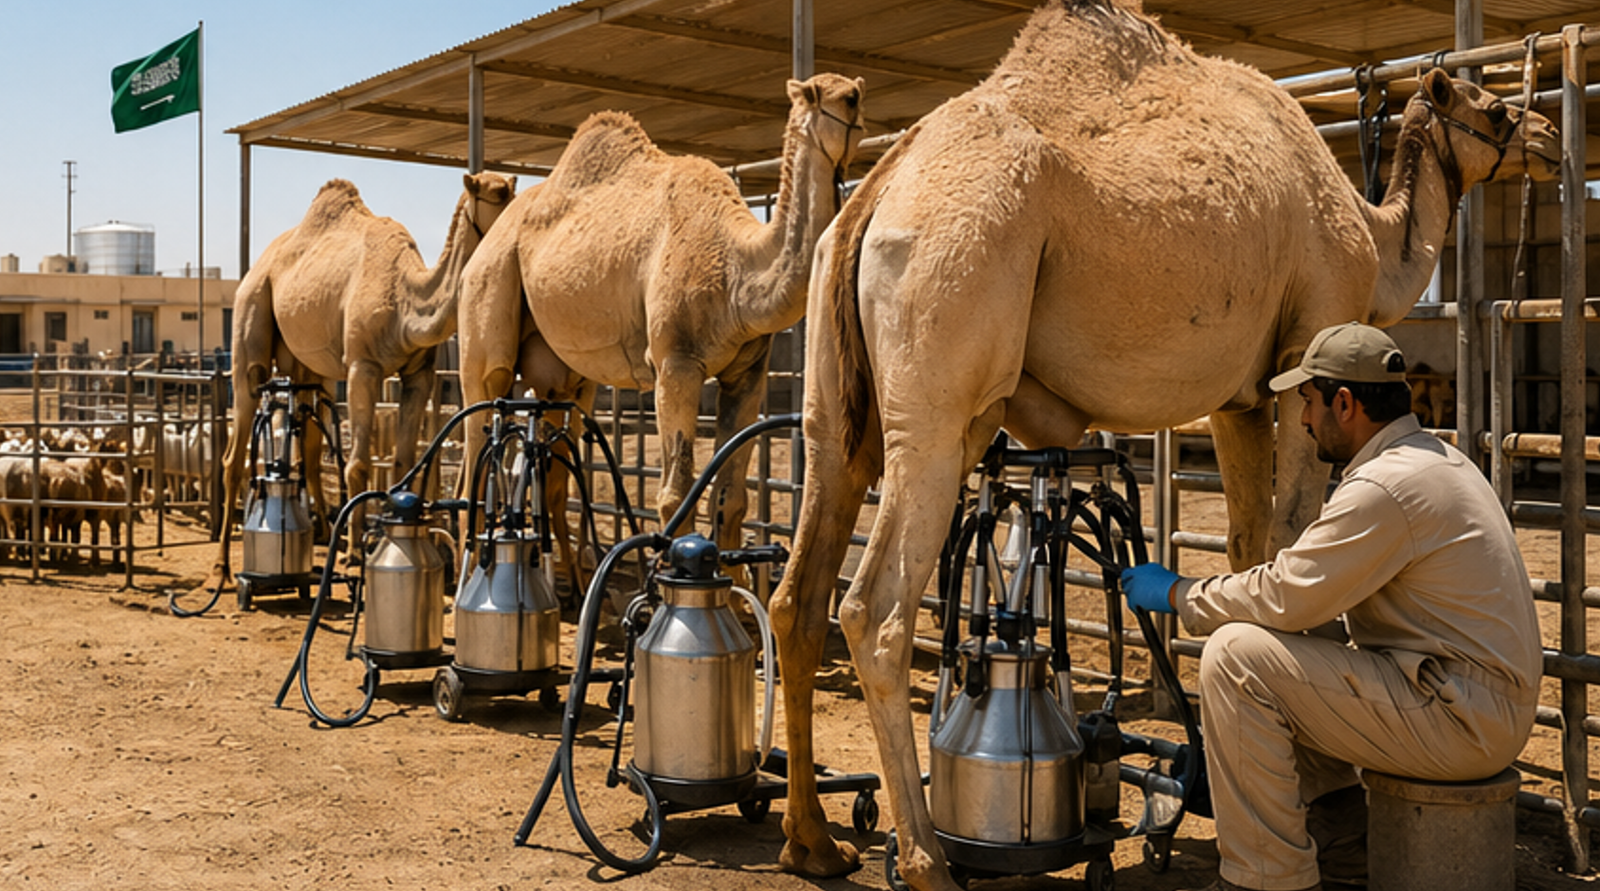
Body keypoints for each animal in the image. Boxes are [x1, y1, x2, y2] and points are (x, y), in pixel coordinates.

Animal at [201, 172, 517, 592]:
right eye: (493, 198)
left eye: (511, 195)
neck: (406, 303)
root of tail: (256, 267)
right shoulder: (362, 367)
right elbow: (358, 464)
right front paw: (352, 557)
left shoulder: (419, 374)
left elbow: (402, 461)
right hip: (250, 317)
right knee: (235, 450)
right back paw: (220, 568)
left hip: (306, 364)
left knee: (311, 443)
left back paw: (319, 531)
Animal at [456, 73, 865, 563]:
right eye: (839, 97)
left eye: (854, 93)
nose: (858, 103)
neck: (736, 268)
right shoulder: (676, 364)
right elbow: (675, 494)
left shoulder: (748, 372)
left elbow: (732, 495)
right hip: (489, 292)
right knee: (478, 433)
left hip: (564, 377)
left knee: (552, 463)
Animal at [764, 3, 1559, 889]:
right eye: (1495, 111)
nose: (1550, 133)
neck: (1371, 236)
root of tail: (876, 190)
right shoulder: (1308, 332)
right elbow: (1295, 537)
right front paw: (1333, 806)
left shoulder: (1244, 396)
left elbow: (1252, 545)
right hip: (940, 368)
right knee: (874, 609)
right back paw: (927, 858)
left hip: (836, 408)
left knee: (800, 591)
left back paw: (814, 842)